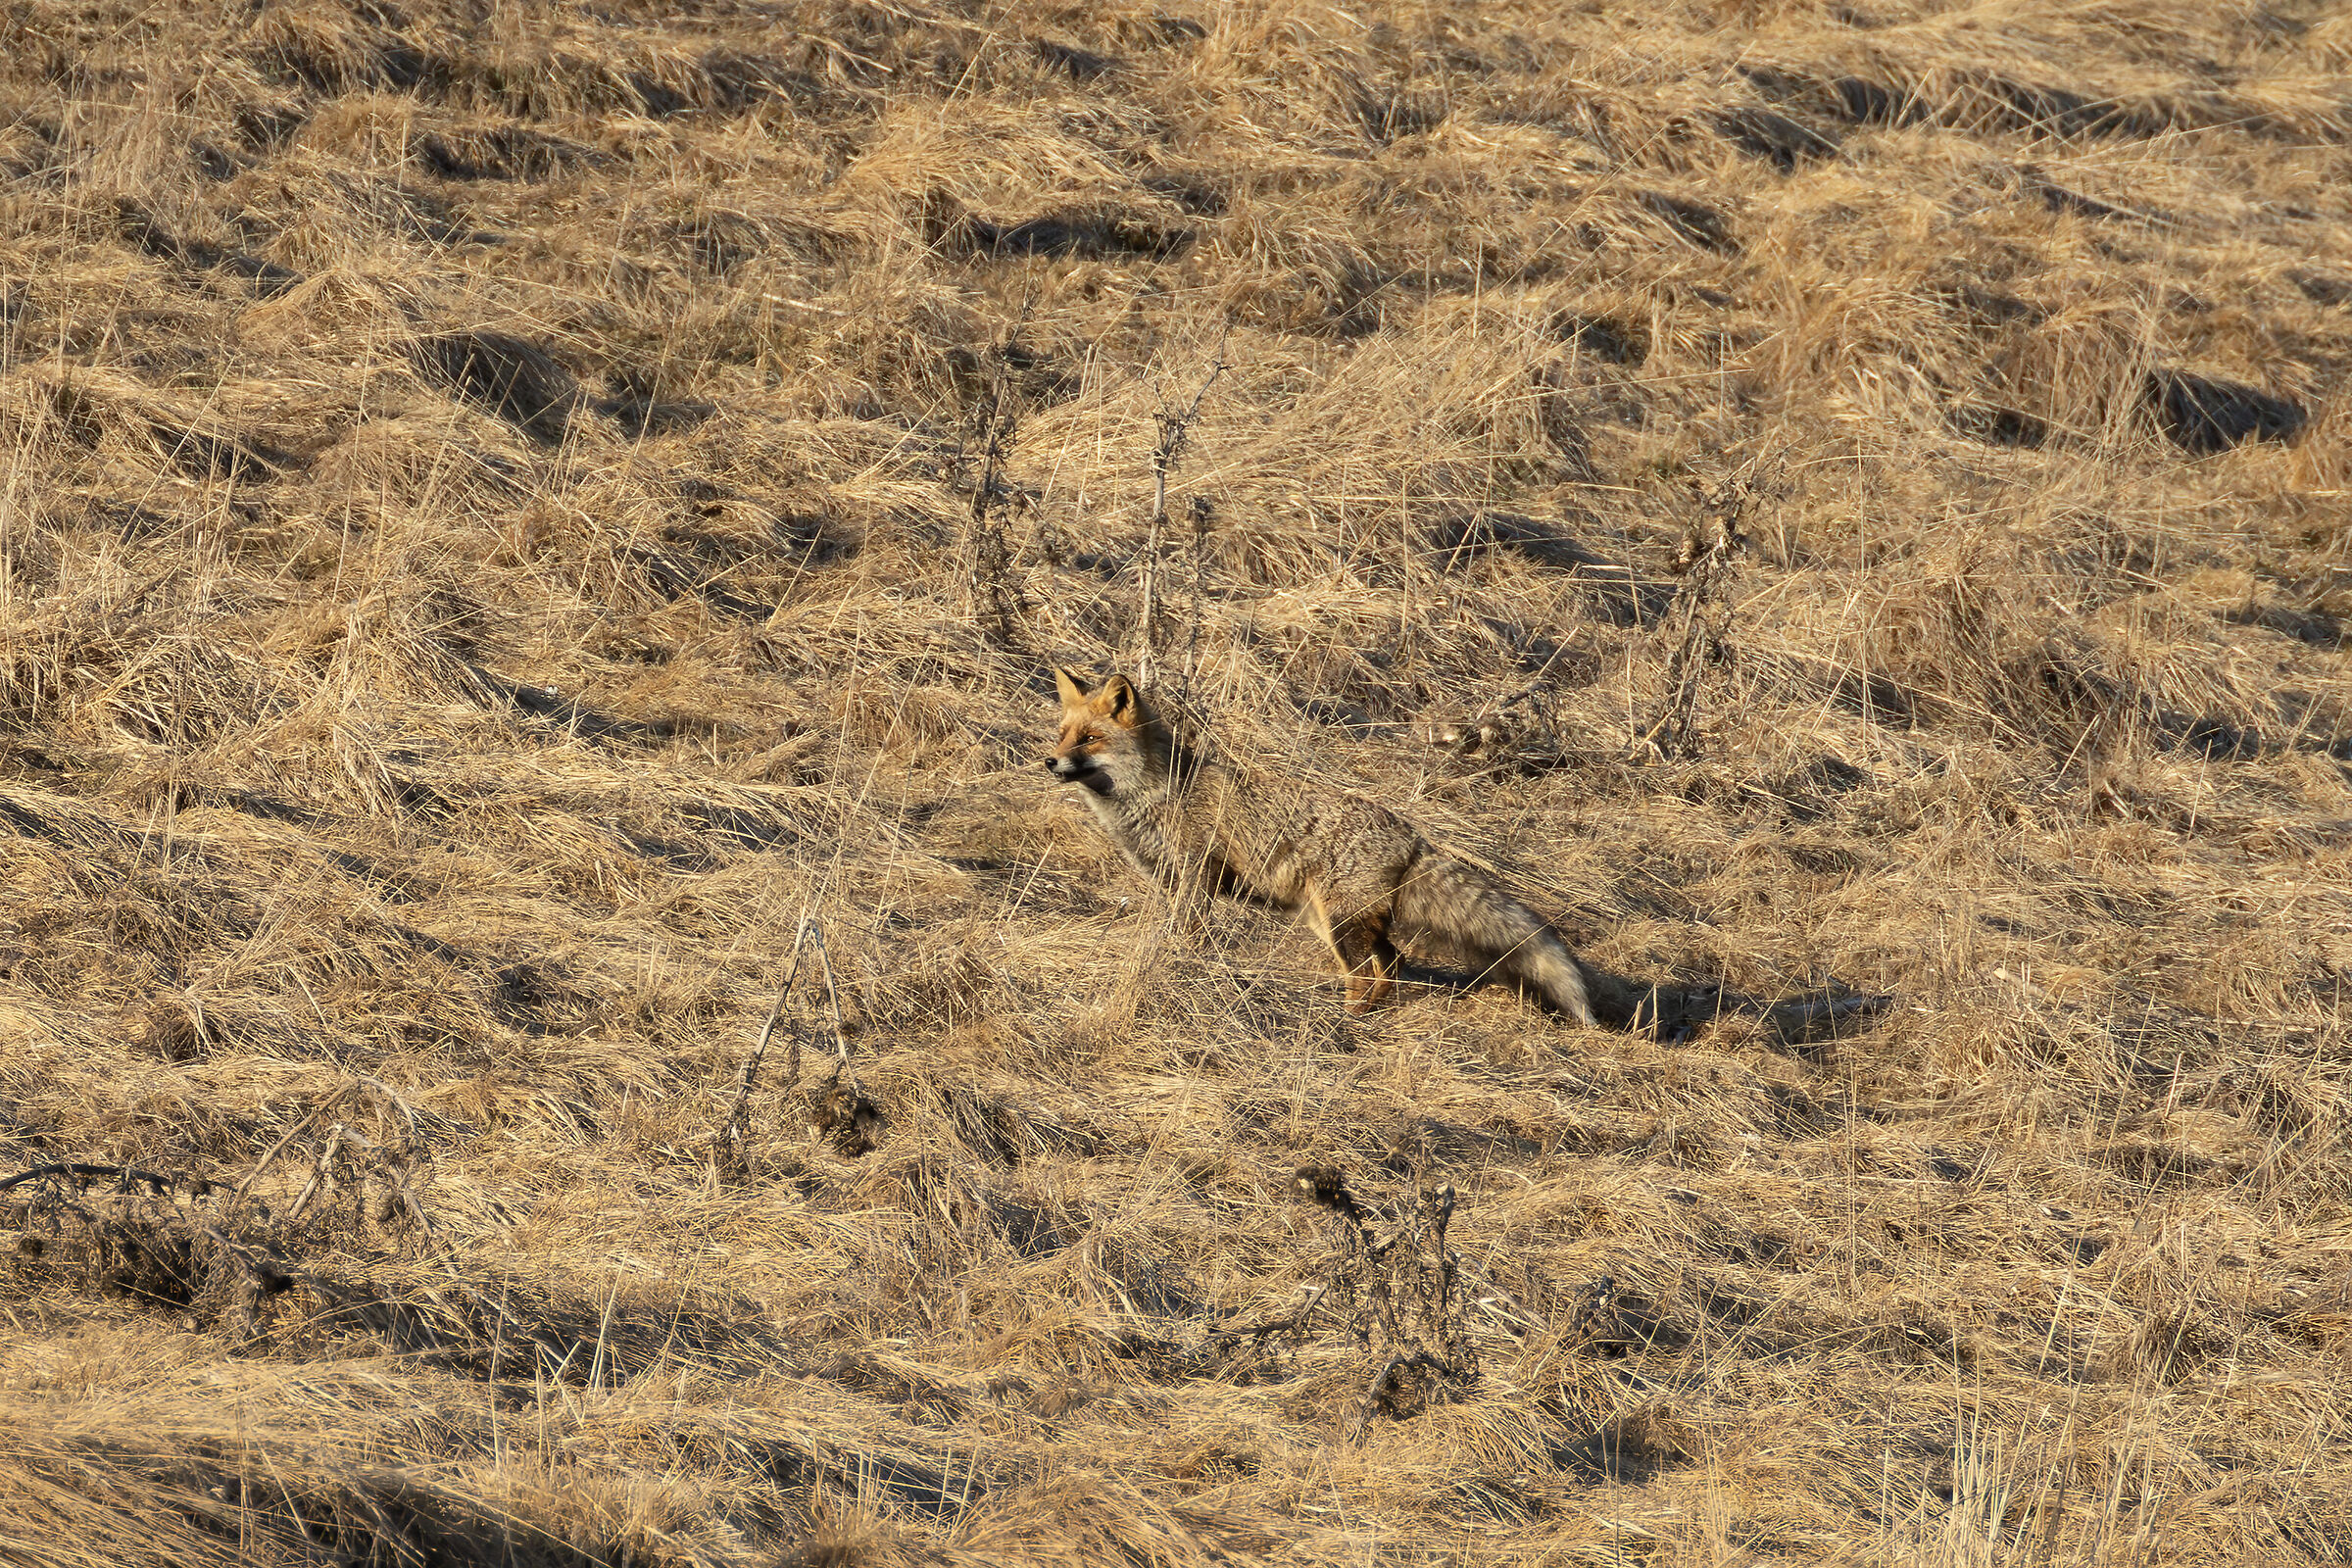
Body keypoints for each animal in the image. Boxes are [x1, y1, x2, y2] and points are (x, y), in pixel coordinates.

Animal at [1044, 667, 1597, 1023]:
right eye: (1063, 734)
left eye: (1090, 739)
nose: (1050, 762)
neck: (1156, 792)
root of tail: (1412, 834)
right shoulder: (1168, 877)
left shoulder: (1198, 874)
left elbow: (1189, 933)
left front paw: (1181, 961)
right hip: (1331, 921)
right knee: (1391, 963)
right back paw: (1368, 1013)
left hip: (1336, 925)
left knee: (1367, 975)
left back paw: (1346, 1021)